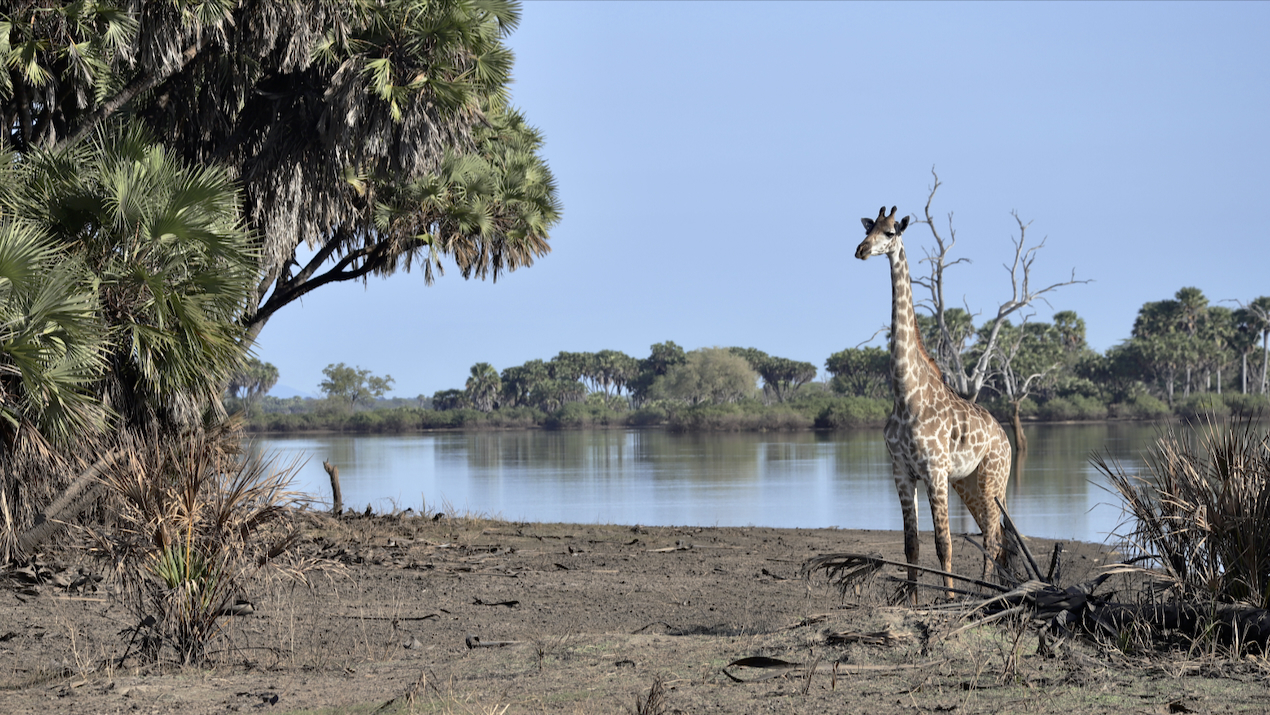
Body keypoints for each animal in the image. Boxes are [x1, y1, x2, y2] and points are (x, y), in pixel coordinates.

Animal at [853, 205, 1010, 599]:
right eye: (868, 229)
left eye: (890, 232)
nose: (861, 250)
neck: (906, 396)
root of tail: (1006, 438)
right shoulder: (902, 471)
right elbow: (912, 544)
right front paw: (912, 600)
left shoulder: (935, 471)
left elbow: (944, 544)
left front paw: (949, 599)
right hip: (968, 483)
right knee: (997, 536)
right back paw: (997, 590)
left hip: (992, 479)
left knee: (994, 538)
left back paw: (986, 593)